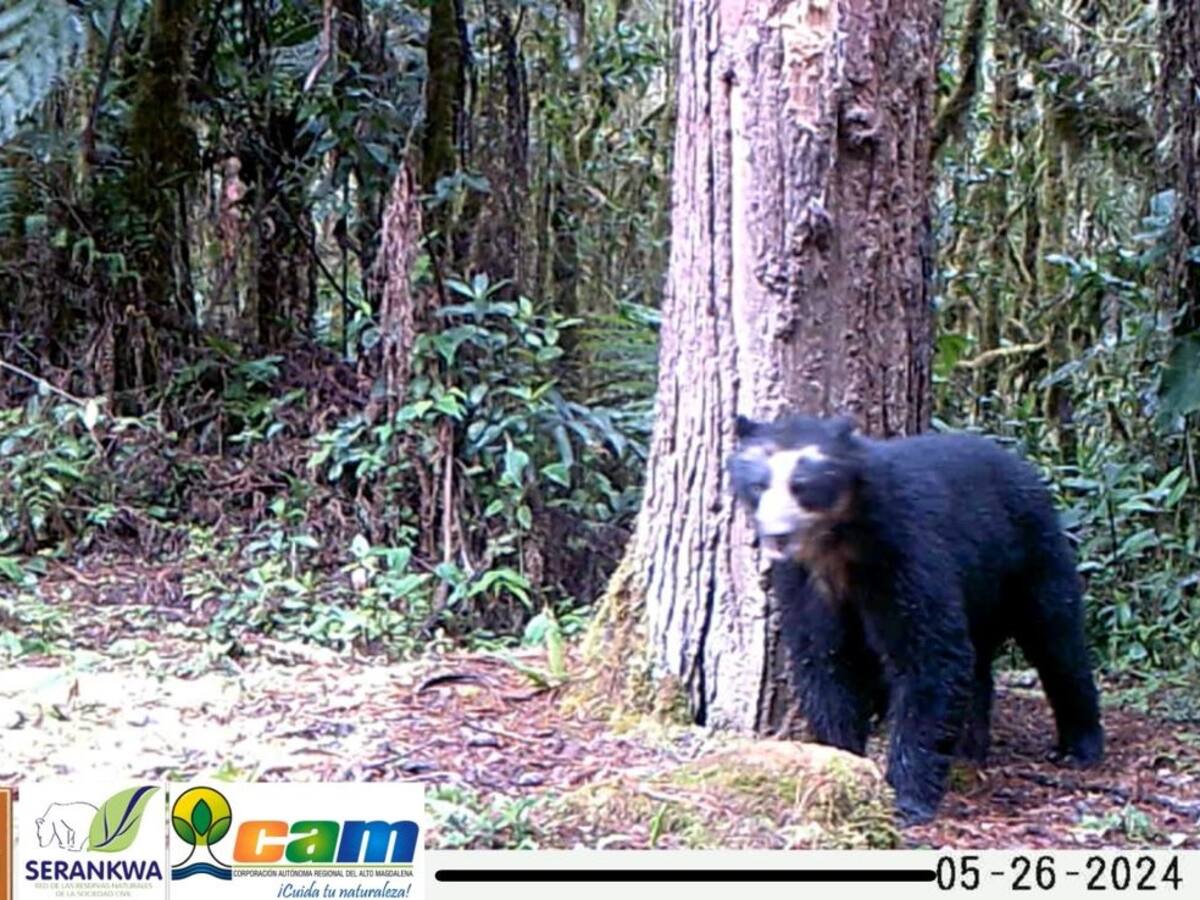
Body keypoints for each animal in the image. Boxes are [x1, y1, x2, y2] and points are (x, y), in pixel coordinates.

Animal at [728, 412, 1104, 824]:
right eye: (758, 484)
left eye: (803, 485)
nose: (777, 535)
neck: (838, 544)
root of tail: (1026, 468)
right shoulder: (805, 580)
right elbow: (826, 660)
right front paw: (841, 757)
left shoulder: (905, 553)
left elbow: (929, 657)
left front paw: (907, 797)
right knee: (981, 665)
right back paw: (971, 746)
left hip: (1031, 557)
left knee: (1057, 641)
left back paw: (1079, 744)